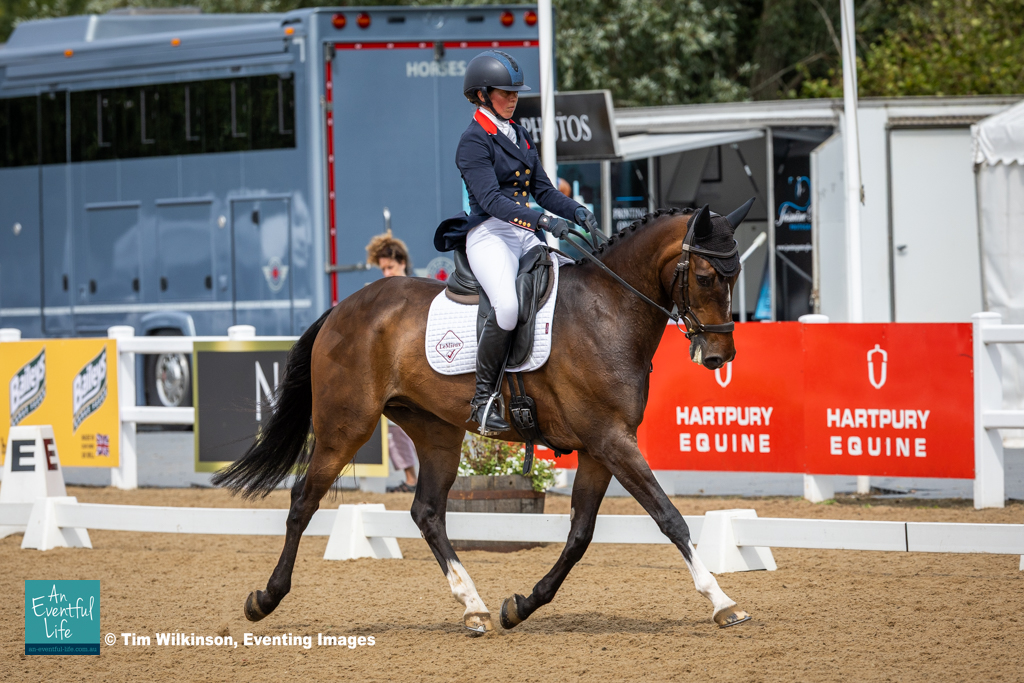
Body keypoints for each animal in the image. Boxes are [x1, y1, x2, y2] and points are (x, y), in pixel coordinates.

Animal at [213, 202, 754, 633]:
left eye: (735, 276)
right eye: (706, 276)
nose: (720, 356)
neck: (608, 310)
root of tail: (344, 307)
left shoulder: (601, 447)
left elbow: (580, 535)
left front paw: (522, 605)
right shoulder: (611, 440)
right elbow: (670, 517)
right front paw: (723, 602)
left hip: (436, 431)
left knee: (427, 513)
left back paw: (473, 607)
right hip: (345, 426)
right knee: (303, 501)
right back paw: (266, 598)